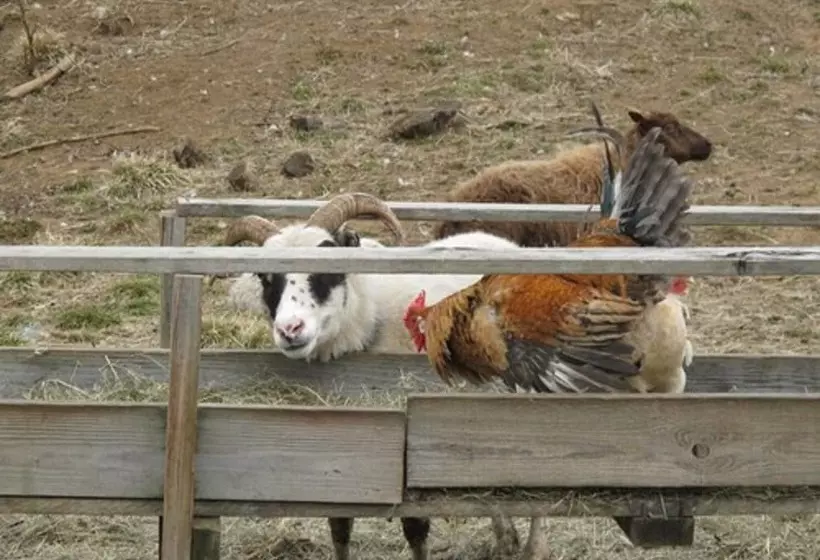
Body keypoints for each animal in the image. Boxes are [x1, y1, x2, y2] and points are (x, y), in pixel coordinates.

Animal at [212, 192, 523, 560]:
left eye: (330, 265)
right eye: (264, 277)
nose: (290, 330)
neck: (370, 317)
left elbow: (415, 526)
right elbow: (339, 523)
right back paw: (506, 539)